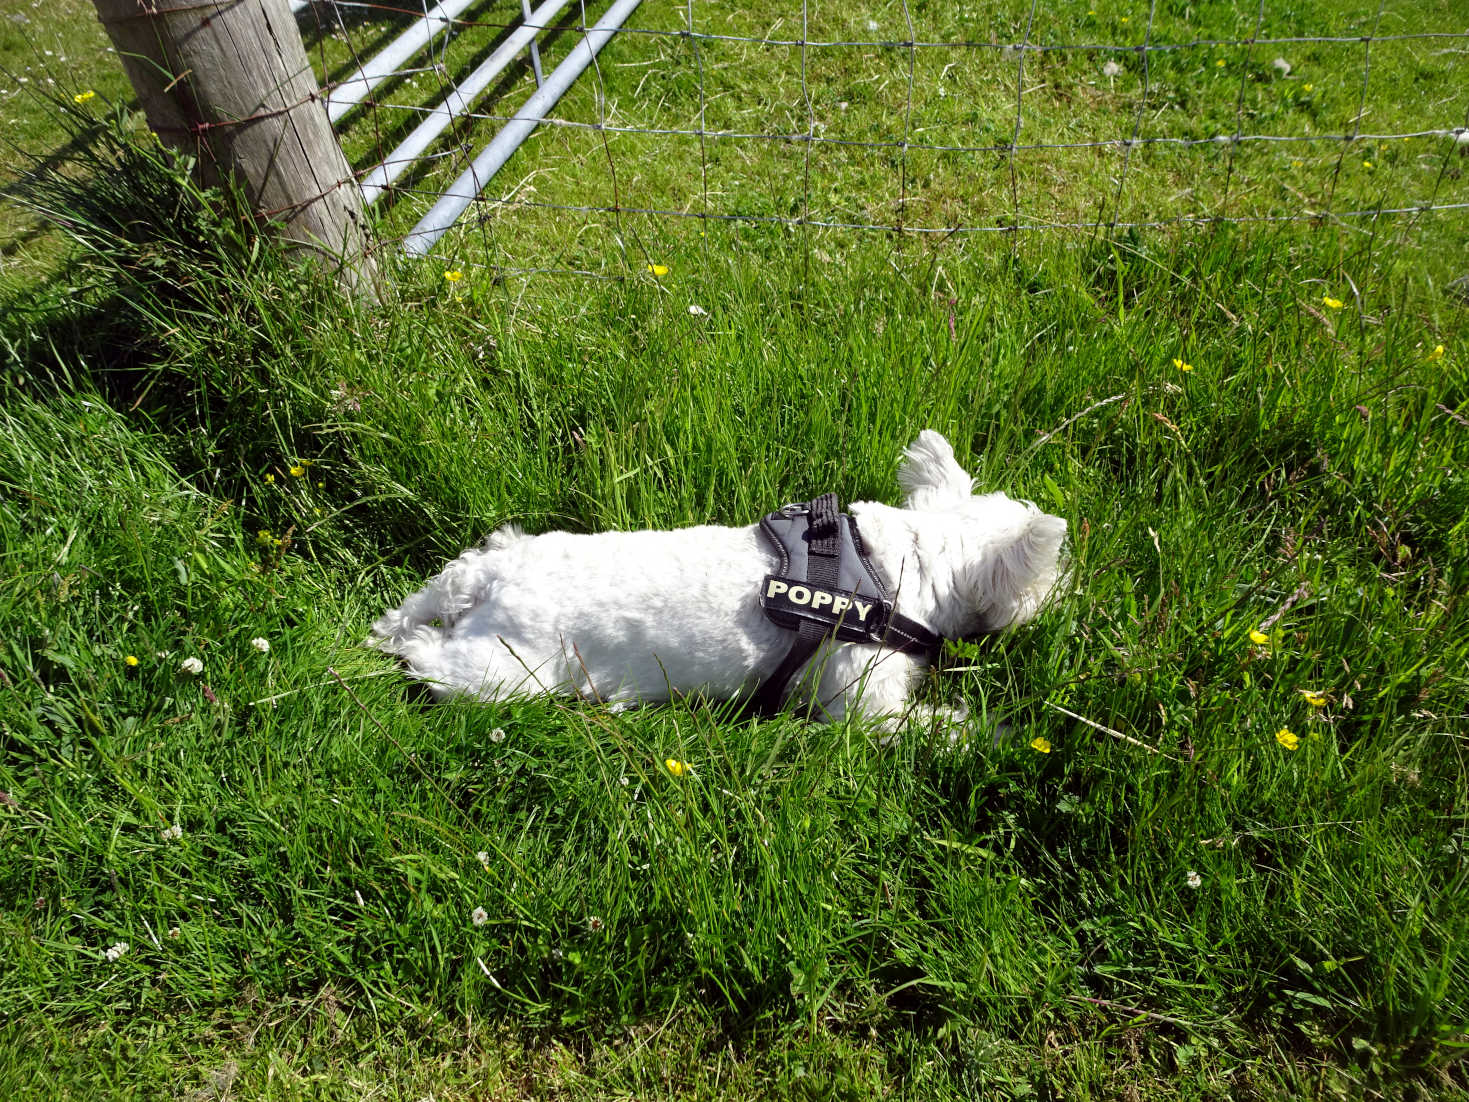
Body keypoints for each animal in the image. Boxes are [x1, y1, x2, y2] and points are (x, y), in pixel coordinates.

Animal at [365, 431, 1057, 734]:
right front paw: (1000, 735)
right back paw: (413, 648)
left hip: (485, 569)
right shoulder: (864, 702)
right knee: (433, 662)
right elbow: (933, 728)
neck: (898, 565)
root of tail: (494, 575)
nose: (1061, 598)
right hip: (507, 671)